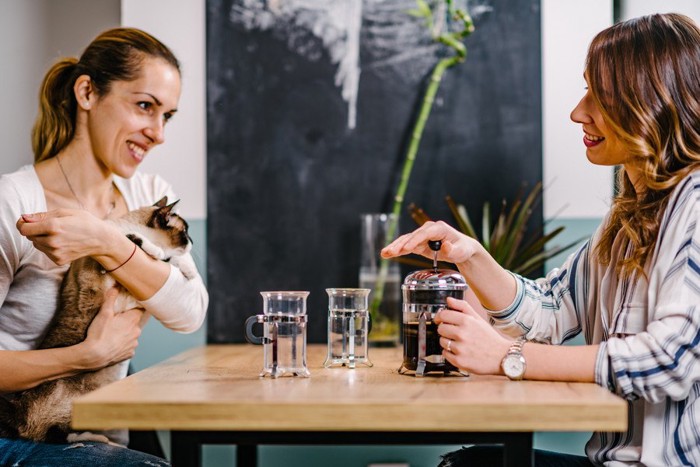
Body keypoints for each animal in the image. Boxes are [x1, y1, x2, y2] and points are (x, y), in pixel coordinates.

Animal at [0, 197, 196, 446]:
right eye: (185, 232)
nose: (192, 243)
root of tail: (16, 412)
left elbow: (167, 259)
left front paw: (186, 269)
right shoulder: (96, 268)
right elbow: (144, 247)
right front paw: (147, 245)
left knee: (54, 433)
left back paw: (98, 438)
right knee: (50, 435)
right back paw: (96, 439)